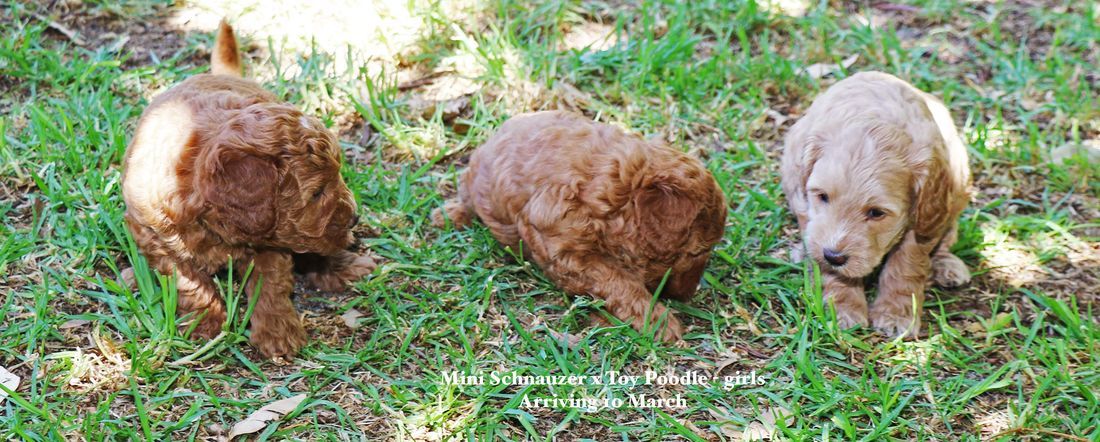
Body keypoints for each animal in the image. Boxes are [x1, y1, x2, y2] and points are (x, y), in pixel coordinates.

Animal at [123, 21, 376, 358]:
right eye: (317, 193)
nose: (355, 218)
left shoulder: (273, 242)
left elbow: (270, 283)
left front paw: (278, 331)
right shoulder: (154, 236)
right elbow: (188, 280)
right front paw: (205, 322)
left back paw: (345, 265)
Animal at [431, 111, 730, 340]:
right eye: (697, 252)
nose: (688, 295)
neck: (619, 190)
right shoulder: (562, 247)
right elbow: (618, 280)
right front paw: (657, 321)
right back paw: (449, 215)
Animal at [783, 71, 972, 338]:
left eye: (876, 213)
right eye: (823, 197)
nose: (833, 256)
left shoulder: (922, 220)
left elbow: (906, 263)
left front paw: (896, 313)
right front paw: (841, 308)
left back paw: (947, 265)